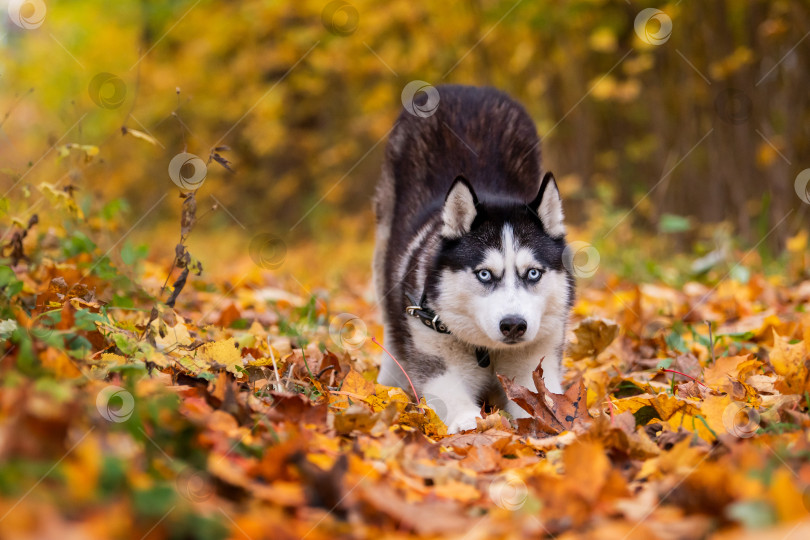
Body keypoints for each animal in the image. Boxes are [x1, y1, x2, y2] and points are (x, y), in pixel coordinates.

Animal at [374, 84, 576, 432]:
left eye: (533, 273)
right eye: (484, 274)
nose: (513, 326)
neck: (488, 352)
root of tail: (466, 89)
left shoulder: (536, 363)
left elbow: (541, 402)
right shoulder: (434, 356)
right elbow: (453, 400)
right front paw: (474, 424)